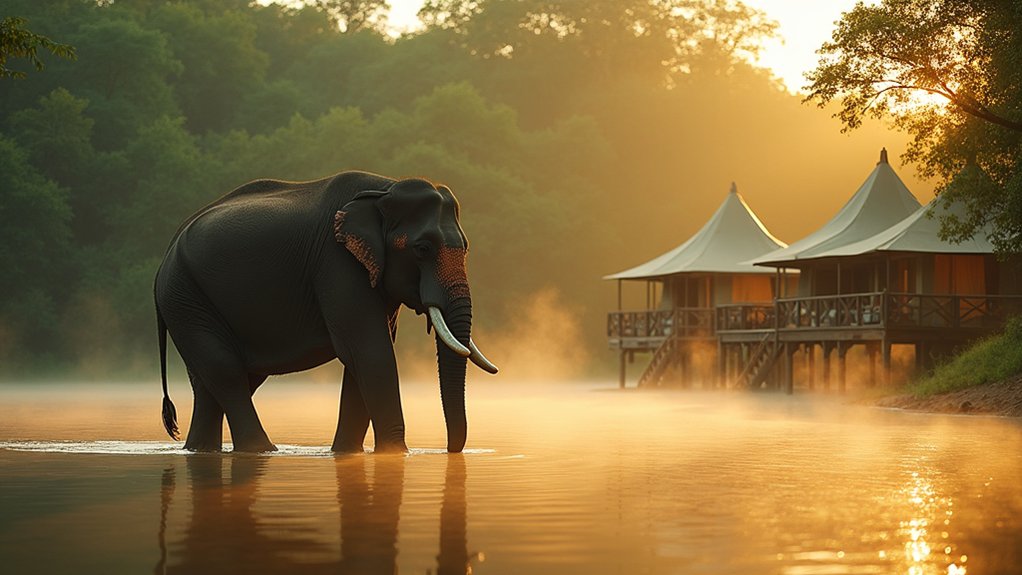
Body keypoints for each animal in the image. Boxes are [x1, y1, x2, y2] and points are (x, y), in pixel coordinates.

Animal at [154, 171, 497, 453]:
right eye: (422, 248)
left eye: (466, 248)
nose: (450, 450)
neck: (384, 189)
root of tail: (167, 254)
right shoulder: (337, 264)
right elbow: (371, 352)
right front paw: (398, 454)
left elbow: (360, 360)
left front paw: (348, 453)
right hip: (184, 295)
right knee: (225, 369)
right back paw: (261, 449)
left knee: (216, 381)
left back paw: (201, 449)